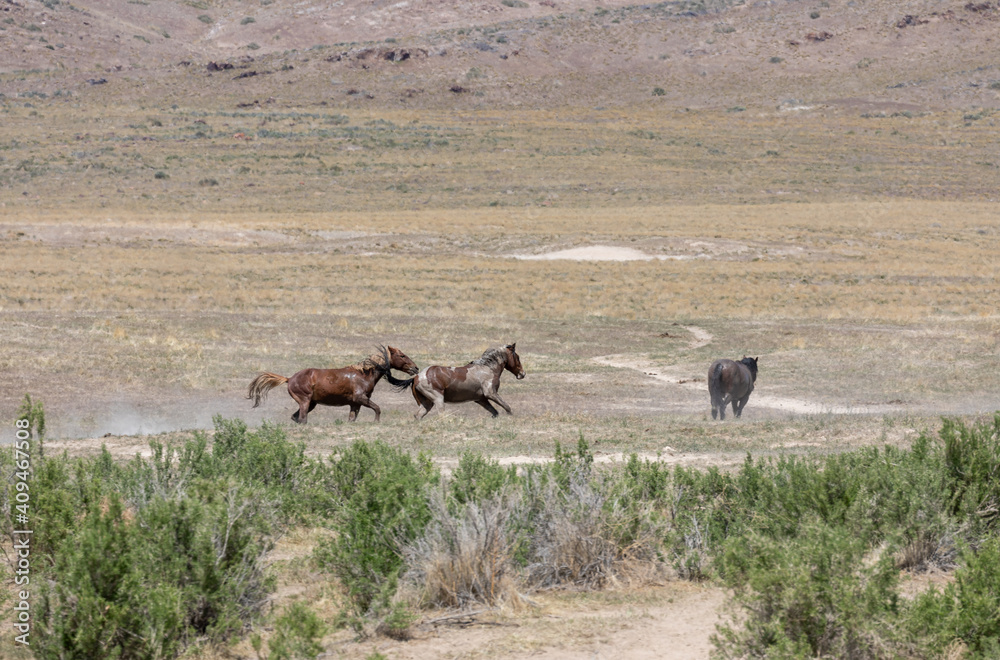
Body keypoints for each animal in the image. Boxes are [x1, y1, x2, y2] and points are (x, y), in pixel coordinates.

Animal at [247, 345, 419, 424]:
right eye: (402, 355)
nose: (415, 368)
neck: (364, 374)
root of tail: (289, 378)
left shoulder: (355, 403)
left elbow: (352, 419)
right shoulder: (361, 399)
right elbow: (377, 408)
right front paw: (376, 422)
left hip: (311, 403)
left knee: (296, 417)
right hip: (305, 401)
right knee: (302, 418)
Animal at [387, 343, 525, 419]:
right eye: (517, 357)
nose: (522, 374)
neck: (488, 368)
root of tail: (416, 377)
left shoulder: (481, 399)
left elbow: (495, 412)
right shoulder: (491, 393)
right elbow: (507, 407)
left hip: (427, 403)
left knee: (418, 415)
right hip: (438, 399)